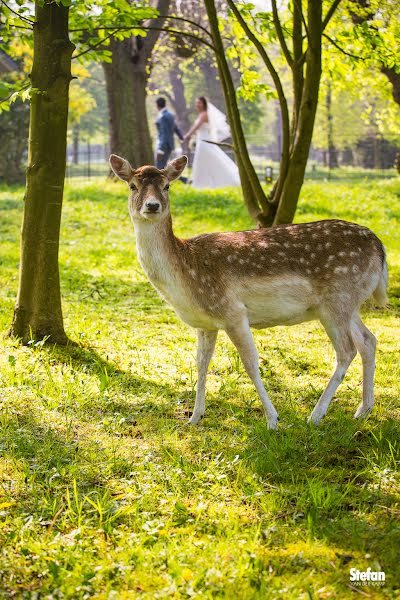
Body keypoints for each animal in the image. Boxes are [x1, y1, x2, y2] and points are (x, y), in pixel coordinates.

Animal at [109, 154, 388, 426]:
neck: (185, 278)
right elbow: (200, 363)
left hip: (337, 299)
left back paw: (316, 415)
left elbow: (250, 363)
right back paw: (363, 410)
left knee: (346, 350)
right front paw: (195, 417)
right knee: (368, 340)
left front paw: (272, 420)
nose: (152, 205)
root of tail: (381, 249)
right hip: (347, 304)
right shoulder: (205, 322)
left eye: (167, 185)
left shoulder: (232, 311)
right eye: (132, 186)